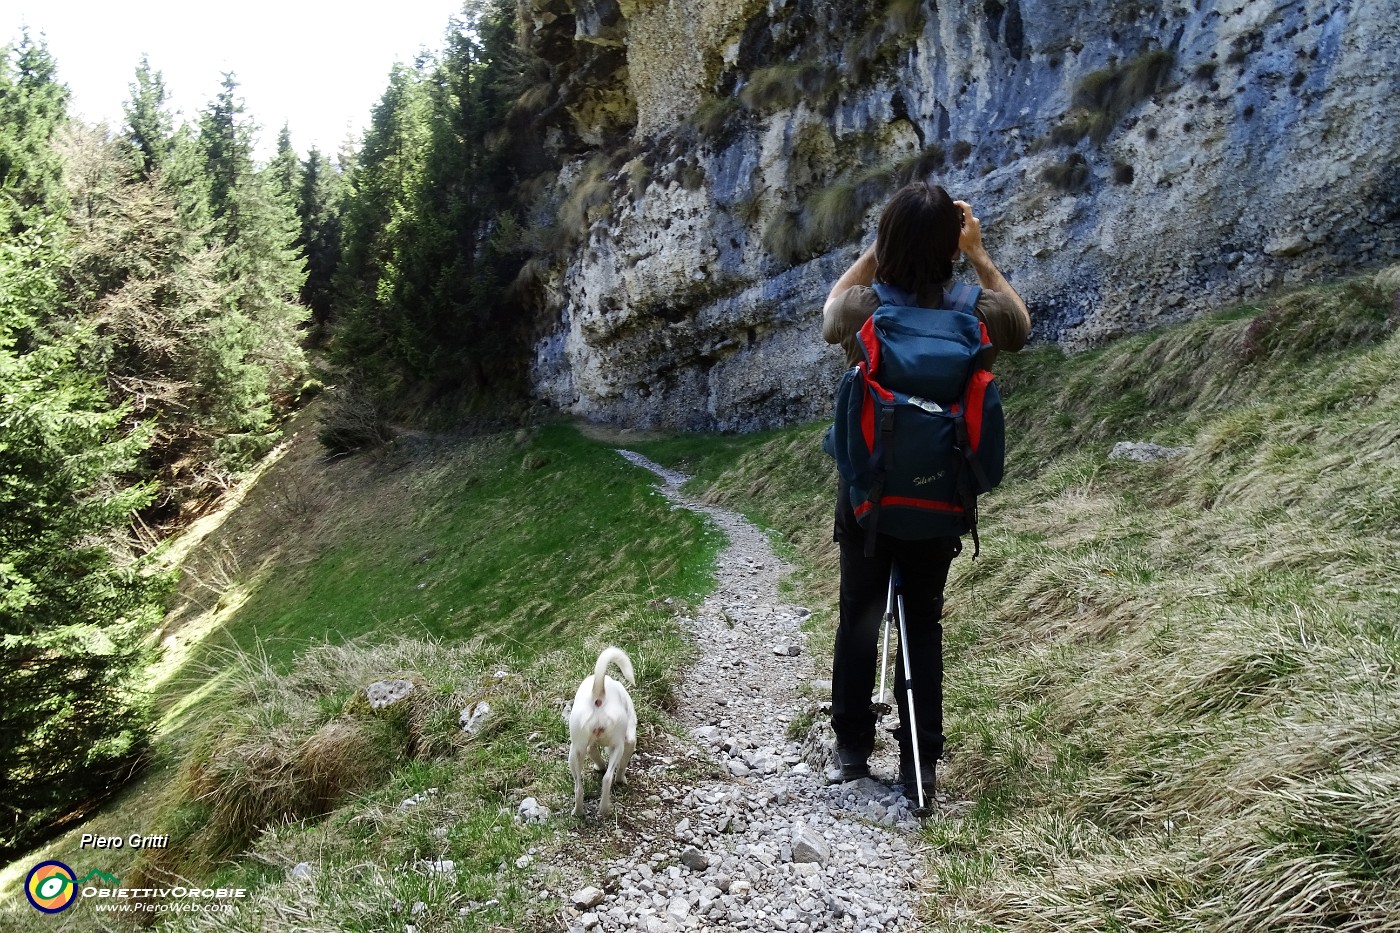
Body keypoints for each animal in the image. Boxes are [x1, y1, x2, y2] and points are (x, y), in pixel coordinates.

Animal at [565, 647, 638, 812]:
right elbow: (622, 766)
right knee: (607, 779)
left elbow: (595, 754)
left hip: (575, 751)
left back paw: (578, 811)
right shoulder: (630, 739)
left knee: (578, 787)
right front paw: (621, 779)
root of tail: (598, 696)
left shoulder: (589, 746)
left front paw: (600, 766)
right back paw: (604, 810)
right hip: (618, 746)